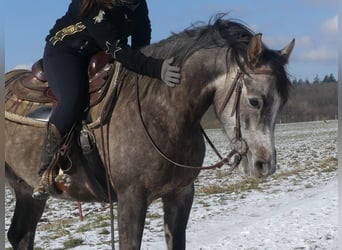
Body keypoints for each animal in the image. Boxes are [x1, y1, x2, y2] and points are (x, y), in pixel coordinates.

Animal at [4, 16, 294, 249]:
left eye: (282, 102)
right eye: (255, 101)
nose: (265, 165)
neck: (162, 110)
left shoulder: (180, 195)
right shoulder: (131, 199)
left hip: (26, 190)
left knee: (20, 235)